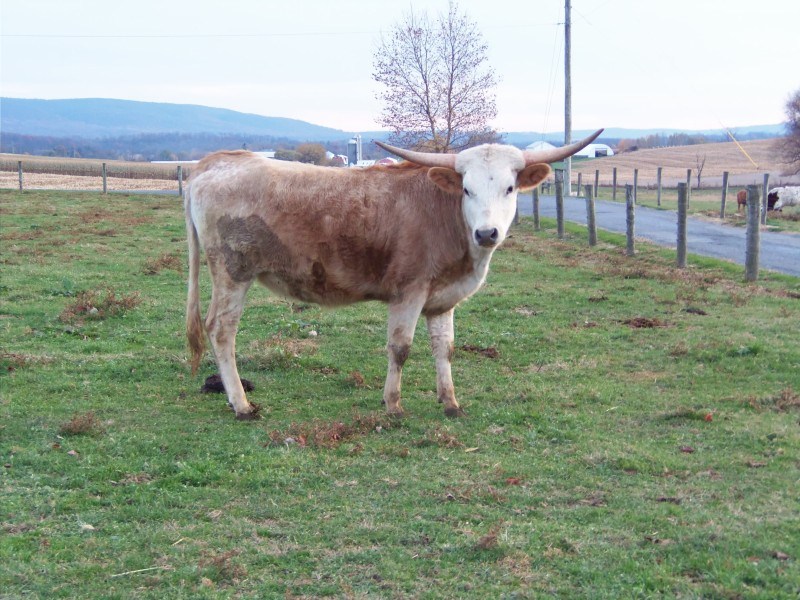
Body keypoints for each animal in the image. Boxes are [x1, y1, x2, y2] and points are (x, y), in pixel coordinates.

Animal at [185, 129, 603, 420]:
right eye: (466, 189)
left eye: (510, 187)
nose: (487, 233)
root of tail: (215, 162)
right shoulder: (408, 292)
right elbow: (400, 348)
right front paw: (393, 405)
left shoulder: (442, 299)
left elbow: (444, 348)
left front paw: (450, 402)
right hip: (232, 272)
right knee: (221, 329)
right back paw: (241, 404)